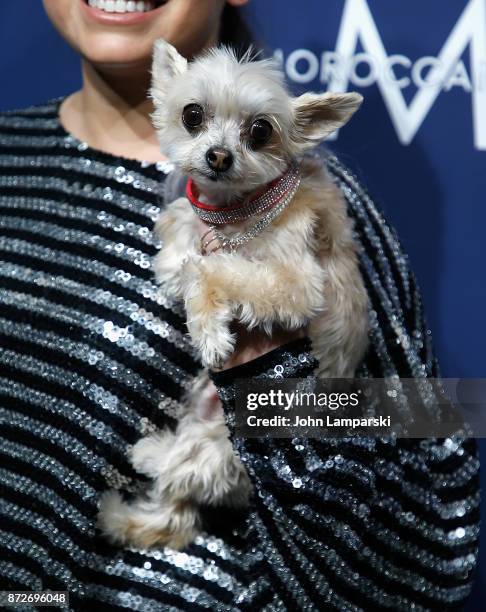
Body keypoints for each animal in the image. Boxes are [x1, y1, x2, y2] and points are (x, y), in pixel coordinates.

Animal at [96, 40, 368, 552]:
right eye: (193, 115)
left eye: (260, 131)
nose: (219, 157)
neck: (234, 211)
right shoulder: (192, 233)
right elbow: (181, 257)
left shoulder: (295, 282)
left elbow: (214, 271)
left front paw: (209, 335)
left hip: (227, 448)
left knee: (186, 471)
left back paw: (151, 454)